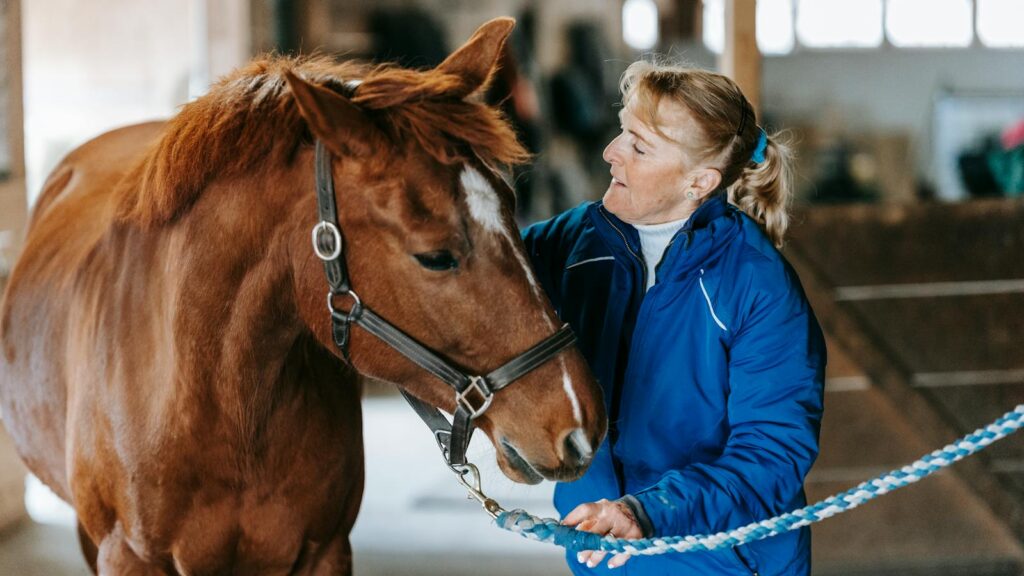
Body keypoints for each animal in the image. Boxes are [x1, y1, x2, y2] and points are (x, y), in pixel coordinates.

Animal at [0, 18, 606, 574]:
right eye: (435, 256)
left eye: (513, 209)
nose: (583, 425)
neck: (217, 405)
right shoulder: (126, 555)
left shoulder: (326, 551)